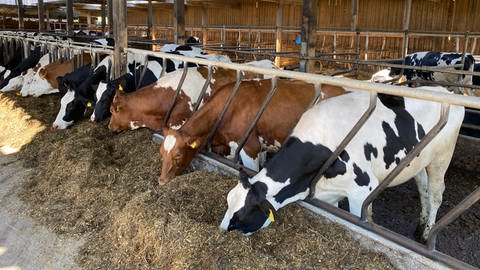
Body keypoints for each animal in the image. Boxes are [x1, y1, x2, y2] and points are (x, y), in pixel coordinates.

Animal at [220, 87, 464, 243]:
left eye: (240, 215)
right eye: (228, 202)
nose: (222, 230)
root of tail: (447, 91)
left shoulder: (362, 190)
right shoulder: (330, 193)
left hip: (442, 157)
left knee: (436, 194)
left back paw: (427, 233)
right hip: (419, 161)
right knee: (423, 189)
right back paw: (420, 224)